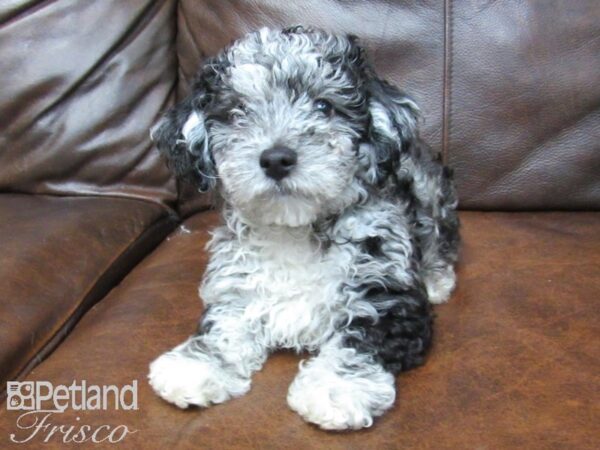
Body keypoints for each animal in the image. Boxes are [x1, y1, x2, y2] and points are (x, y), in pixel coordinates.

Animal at [148, 25, 458, 428]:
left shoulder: (389, 297)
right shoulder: (237, 287)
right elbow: (223, 326)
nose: (276, 159)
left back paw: (437, 280)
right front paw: (197, 365)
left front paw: (335, 388)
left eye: (324, 106)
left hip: (431, 193)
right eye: (237, 112)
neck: (293, 229)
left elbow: (361, 339)